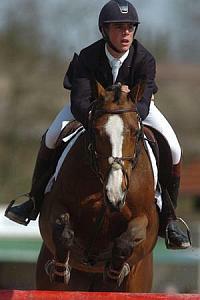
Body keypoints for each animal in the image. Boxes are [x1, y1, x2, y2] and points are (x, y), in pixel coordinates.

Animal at [35, 82, 159, 292]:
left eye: (135, 132)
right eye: (98, 131)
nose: (115, 194)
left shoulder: (146, 218)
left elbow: (127, 240)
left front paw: (115, 272)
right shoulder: (53, 206)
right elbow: (64, 233)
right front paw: (60, 270)